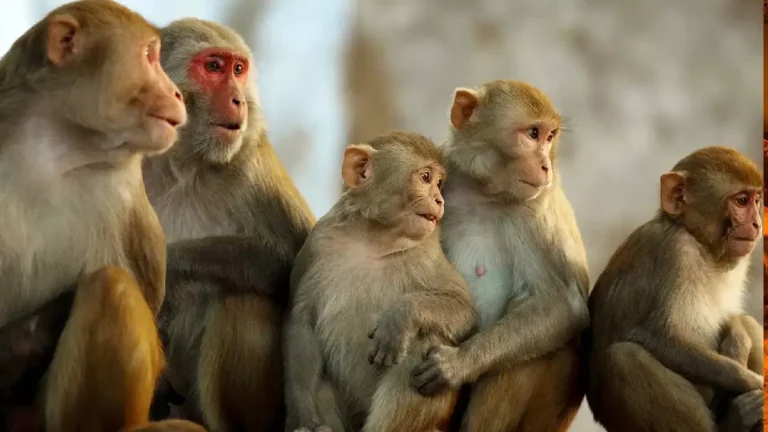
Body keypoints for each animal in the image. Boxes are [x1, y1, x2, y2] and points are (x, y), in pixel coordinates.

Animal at [140, 18, 316, 432]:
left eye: (238, 70)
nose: (238, 100)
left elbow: (299, 264)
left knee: (242, 298)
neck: (181, 162)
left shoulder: (251, 164)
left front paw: (171, 270)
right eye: (213, 67)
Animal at [284, 131, 479, 432]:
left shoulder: (428, 253)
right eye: (426, 177)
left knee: (422, 340)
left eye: (439, 183)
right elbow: (301, 322)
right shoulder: (318, 243)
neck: (374, 241)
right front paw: (304, 418)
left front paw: (399, 318)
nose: (439, 200)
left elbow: (463, 310)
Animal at [407, 80, 589, 432]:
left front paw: (456, 365)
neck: (484, 193)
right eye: (533, 133)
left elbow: (564, 305)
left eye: (550, 136)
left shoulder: (536, 211)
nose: (546, 165)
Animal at [585, 146, 764, 432]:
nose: (757, 224)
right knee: (624, 359)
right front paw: (755, 383)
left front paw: (738, 341)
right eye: (741, 200)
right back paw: (734, 421)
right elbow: (660, 337)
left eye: (756, 200)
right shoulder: (676, 251)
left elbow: (735, 319)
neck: (700, 244)